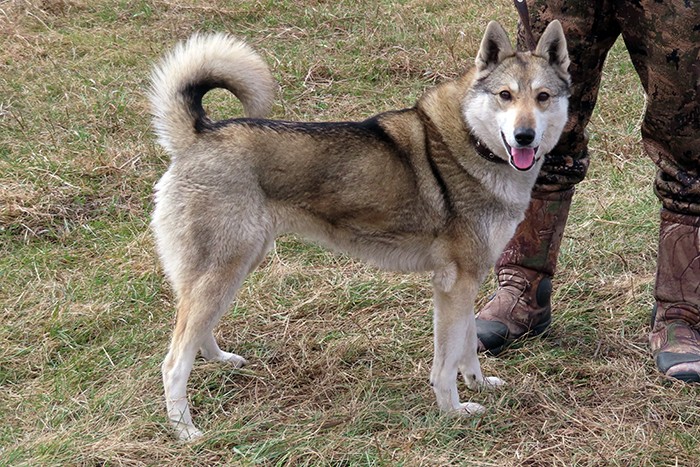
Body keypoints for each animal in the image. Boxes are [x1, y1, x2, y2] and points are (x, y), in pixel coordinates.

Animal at [148, 20, 570, 440]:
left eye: (543, 97)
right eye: (505, 95)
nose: (525, 136)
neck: (473, 141)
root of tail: (198, 134)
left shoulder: (468, 282)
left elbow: (468, 348)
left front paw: (479, 385)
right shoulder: (453, 284)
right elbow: (447, 363)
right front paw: (453, 411)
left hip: (235, 267)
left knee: (197, 331)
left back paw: (219, 360)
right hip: (224, 270)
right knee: (173, 362)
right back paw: (185, 431)